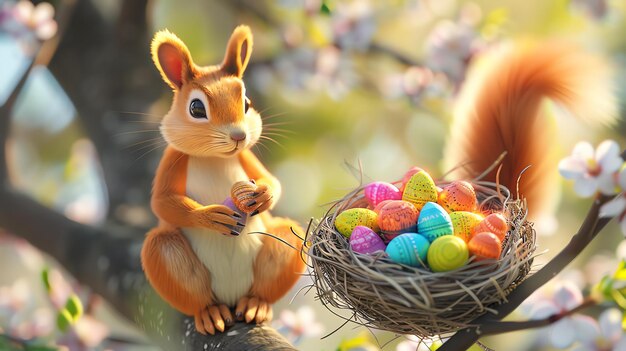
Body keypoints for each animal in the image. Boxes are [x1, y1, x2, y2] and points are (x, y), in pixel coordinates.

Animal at [142, 26, 308, 336]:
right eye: (196, 108)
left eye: (247, 103)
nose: (239, 136)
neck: (214, 157)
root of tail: (232, 298)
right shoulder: (173, 159)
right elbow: (162, 203)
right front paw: (210, 216)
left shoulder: (246, 157)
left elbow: (273, 181)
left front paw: (264, 194)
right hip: (166, 256)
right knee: (196, 294)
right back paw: (210, 313)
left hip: (282, 246)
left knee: (264, 283)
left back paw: (256, 304)